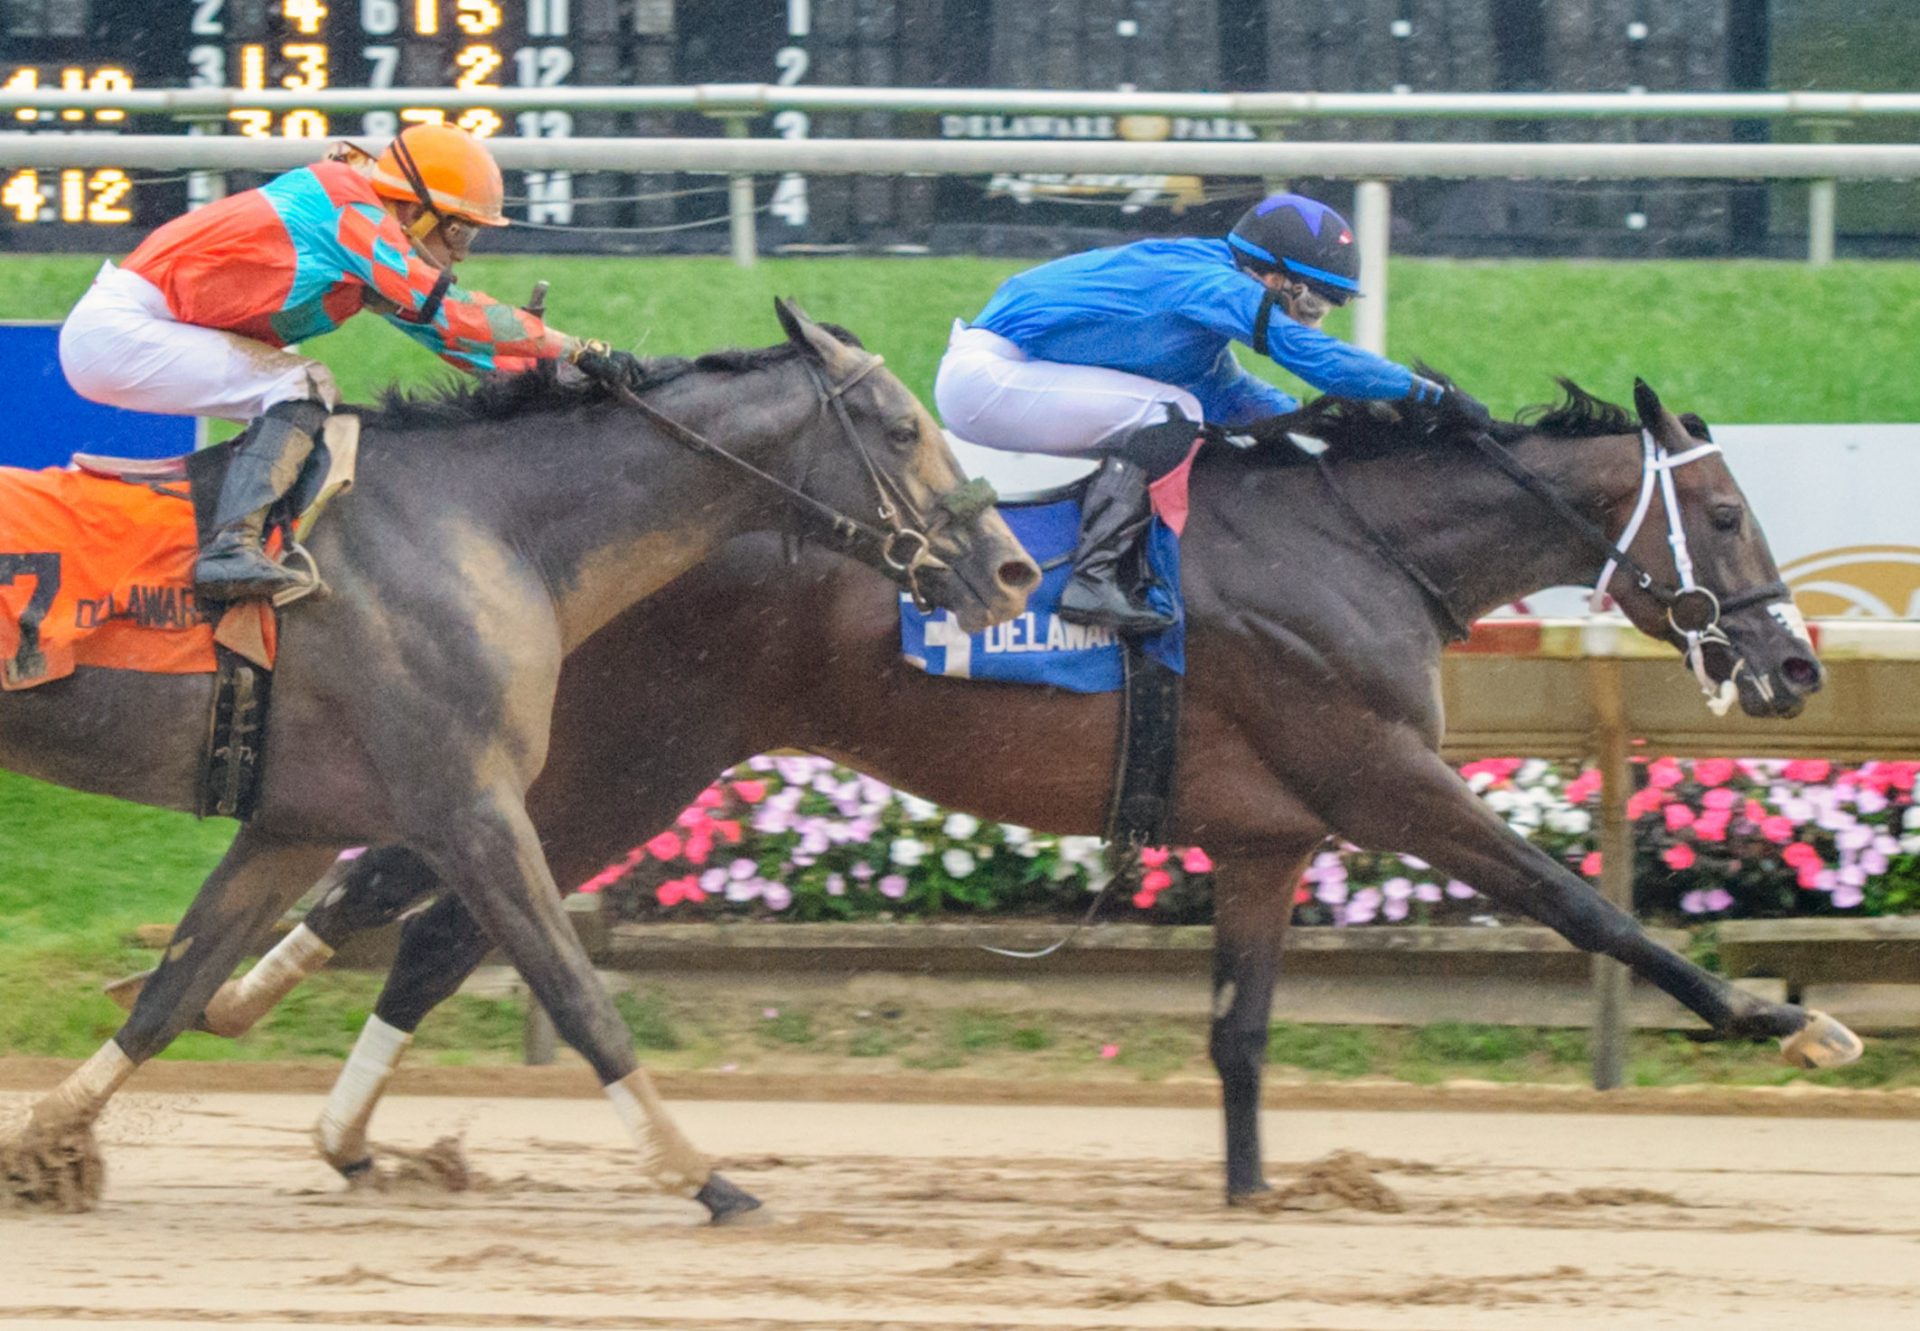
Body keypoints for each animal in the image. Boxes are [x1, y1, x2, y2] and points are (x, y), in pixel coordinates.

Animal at [0, 301, 1044, 1213]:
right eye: (902, 429)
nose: (1011, 570)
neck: (483, 527)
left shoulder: (297, 822)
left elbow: (175, 991)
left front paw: (46, 1147)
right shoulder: (473, 808)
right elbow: (574, 989)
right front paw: (701, 1176)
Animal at [139, 376, 1858, 1206]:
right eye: (1720, 509)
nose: (1792, 667)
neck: (1360, 546)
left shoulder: (1268, 831)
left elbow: (1240, 1030)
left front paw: (1253, 1193)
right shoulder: (1383, 777)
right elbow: (1582, 904)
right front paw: (1785, 1017)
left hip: (603, 765)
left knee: (423, 906)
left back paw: (307, 1068)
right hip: (627, 762)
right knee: (441, 913)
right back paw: (303, 1056)